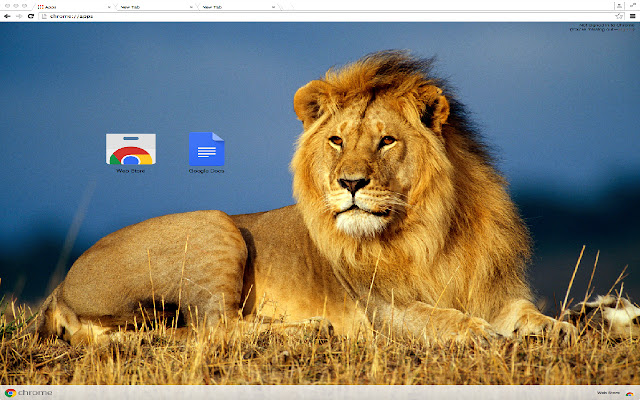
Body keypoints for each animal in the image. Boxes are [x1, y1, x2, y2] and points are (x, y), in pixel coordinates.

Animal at [31, 50, 576, 345]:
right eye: (336, 141)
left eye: (386, 141)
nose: (350, 183)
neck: (431, 229)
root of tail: (59, 289)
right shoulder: (383, 310)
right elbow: (439, 317)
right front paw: (479, 333)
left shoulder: (492, 290)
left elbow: (525, 313)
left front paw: (561, 329)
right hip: (214, 225)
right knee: (214, 328)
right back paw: (309, 329)